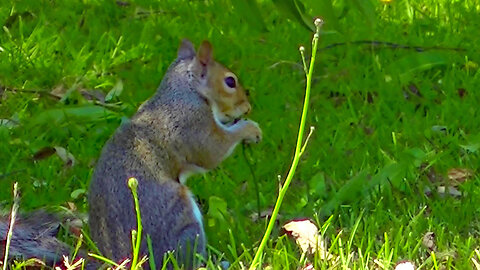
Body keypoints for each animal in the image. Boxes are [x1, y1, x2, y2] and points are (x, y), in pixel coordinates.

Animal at [0, 39, 262, 268]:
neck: (181, 90)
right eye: (230, 82)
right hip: (178, 220)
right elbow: (212, 151)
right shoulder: (192, 124)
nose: (247, 107)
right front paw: (250, 129)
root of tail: (121, 262)